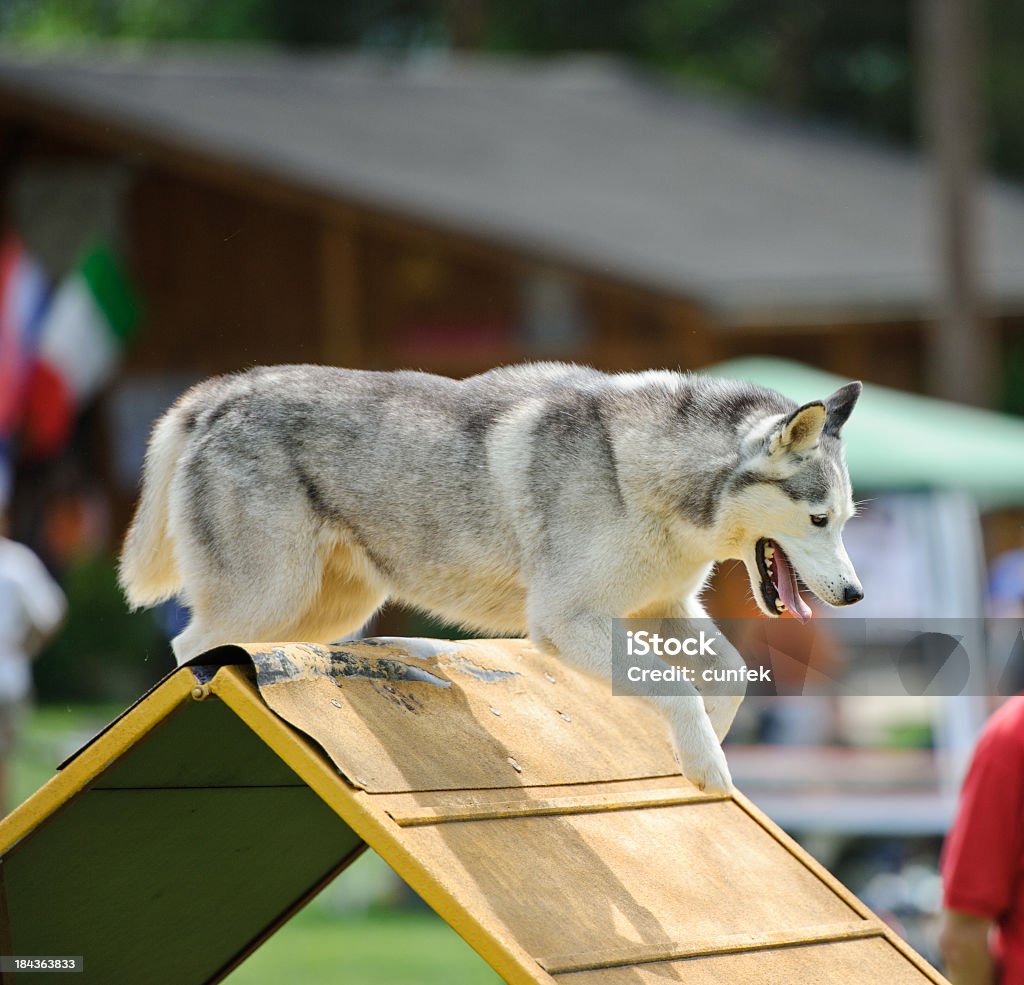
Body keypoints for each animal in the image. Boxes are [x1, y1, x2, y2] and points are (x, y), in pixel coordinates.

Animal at [123, 360, 868, 790]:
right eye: (819, 519)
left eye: (846, 519)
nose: (855, 593)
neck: (649, 476)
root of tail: (220, 392)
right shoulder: (566, 621)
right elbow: (677, 688)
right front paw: (707, 763)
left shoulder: (662, 607)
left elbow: (730, 676)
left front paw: (707, 736)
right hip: (270, 595)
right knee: (192, 646)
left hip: (331, 608)